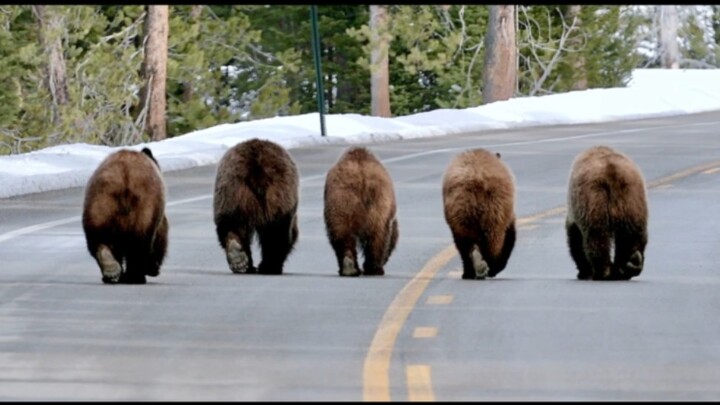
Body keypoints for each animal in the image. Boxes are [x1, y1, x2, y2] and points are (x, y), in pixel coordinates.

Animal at [82, 147, 169, 284]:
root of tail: (124, 178)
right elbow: (160, 236)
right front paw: (152, 267)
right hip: (144, 206)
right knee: (139, 243)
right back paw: (135, 276)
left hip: (100, 203)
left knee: (98, 238)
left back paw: (111, 269)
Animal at [213, 138, 299, 275]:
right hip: (278, 195)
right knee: (276, 231)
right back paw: (269, 266)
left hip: (233, 191)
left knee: (231, 223)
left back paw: (238, 258)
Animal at [324, 146, 398, 277]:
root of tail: (361, 177)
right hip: (378, 203)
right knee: (377, 235)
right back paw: (374, 268)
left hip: (341, 202)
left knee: (342, 235)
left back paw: (349, 267)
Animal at [442, 148, 516, 280]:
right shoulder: (507, 214)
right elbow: (510, 237)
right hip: (493, 208)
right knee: (492, 239)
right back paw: (489, 268)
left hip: (461, 213)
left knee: (463, 243)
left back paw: (469, 271)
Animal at [565, 145, 648, 281]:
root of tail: (612, 174)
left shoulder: (575, 213)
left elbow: (575, 239)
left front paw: (584, 271)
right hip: (633, 198)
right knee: (633, 233)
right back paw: (630, 264)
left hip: (593, 197)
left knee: (596, 235)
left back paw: (604, 272)